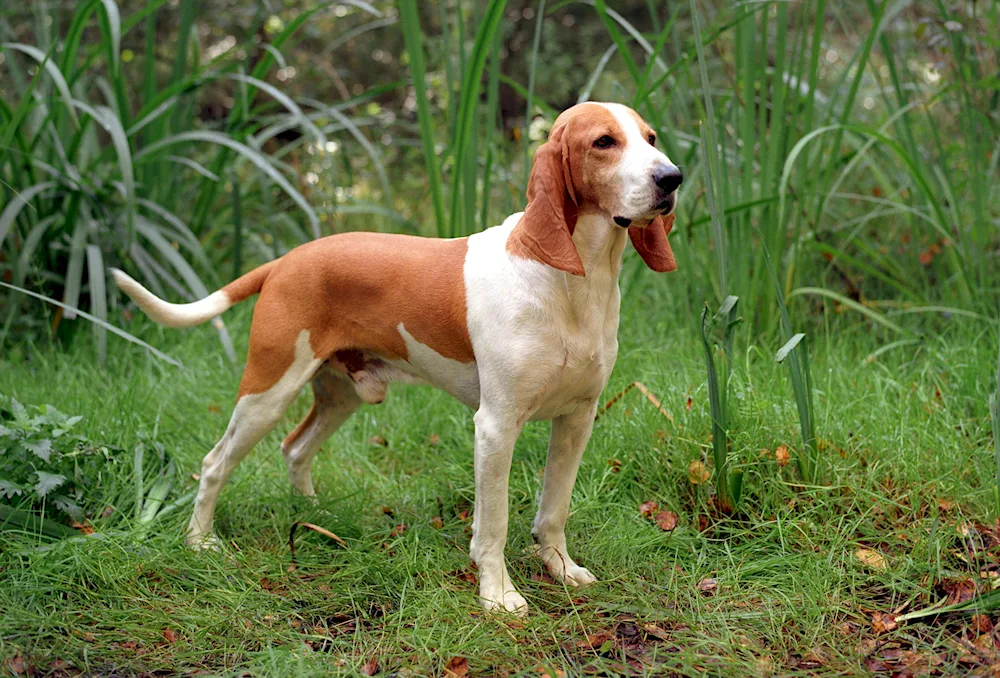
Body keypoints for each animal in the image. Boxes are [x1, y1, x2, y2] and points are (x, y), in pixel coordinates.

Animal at [113, 101, 684, 616]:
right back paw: (200, 543)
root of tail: (287, 260)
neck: (571, 280)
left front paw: (560, 570)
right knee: (214, 464)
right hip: (267, 392)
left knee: (296, 449)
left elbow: (553, 510)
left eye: (651, 137)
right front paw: (498, 596)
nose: (672, 177)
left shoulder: (577, 419)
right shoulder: (496, 427)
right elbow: (493, 524)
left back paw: (314, 515)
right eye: (604, 142)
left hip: (339, 396)